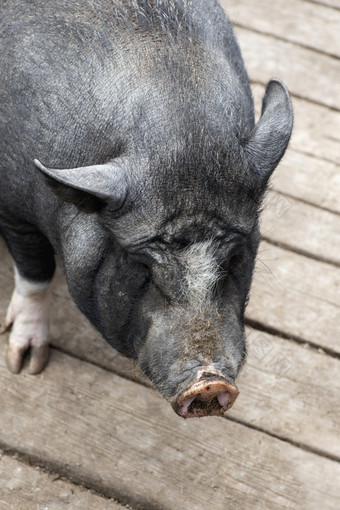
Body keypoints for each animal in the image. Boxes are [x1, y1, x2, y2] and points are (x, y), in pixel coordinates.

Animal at [0, 0, 292, 416]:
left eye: (235, 259)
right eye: (142, 267)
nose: (209, 382)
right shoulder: (13, 208)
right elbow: (34, 273)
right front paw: (25, 365)